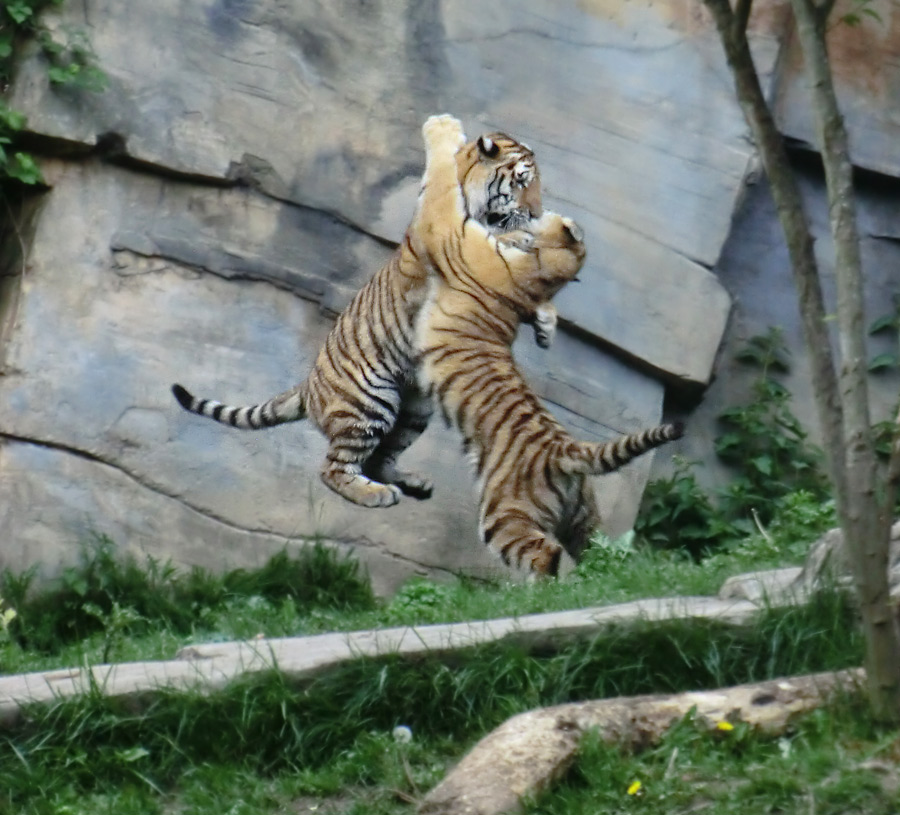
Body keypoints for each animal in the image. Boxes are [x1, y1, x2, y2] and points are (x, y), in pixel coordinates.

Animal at [171, 126, 556, 506]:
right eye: (522, 181)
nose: (537, 214)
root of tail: (308, 386)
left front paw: (546, 322)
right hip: (372, 402)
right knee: (334, 468)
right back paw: (376, 494)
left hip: (416, 409)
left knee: (379, 459)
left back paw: (411, 483)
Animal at [410, 115, 684, 576]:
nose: (538, 212)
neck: (539, 267)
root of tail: (564, 449)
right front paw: (544, 323)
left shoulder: (452, 233)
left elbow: (442, 189)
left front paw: (442, 130)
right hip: (584, 518)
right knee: (603, 555)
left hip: (506, 515)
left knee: (545, 558)